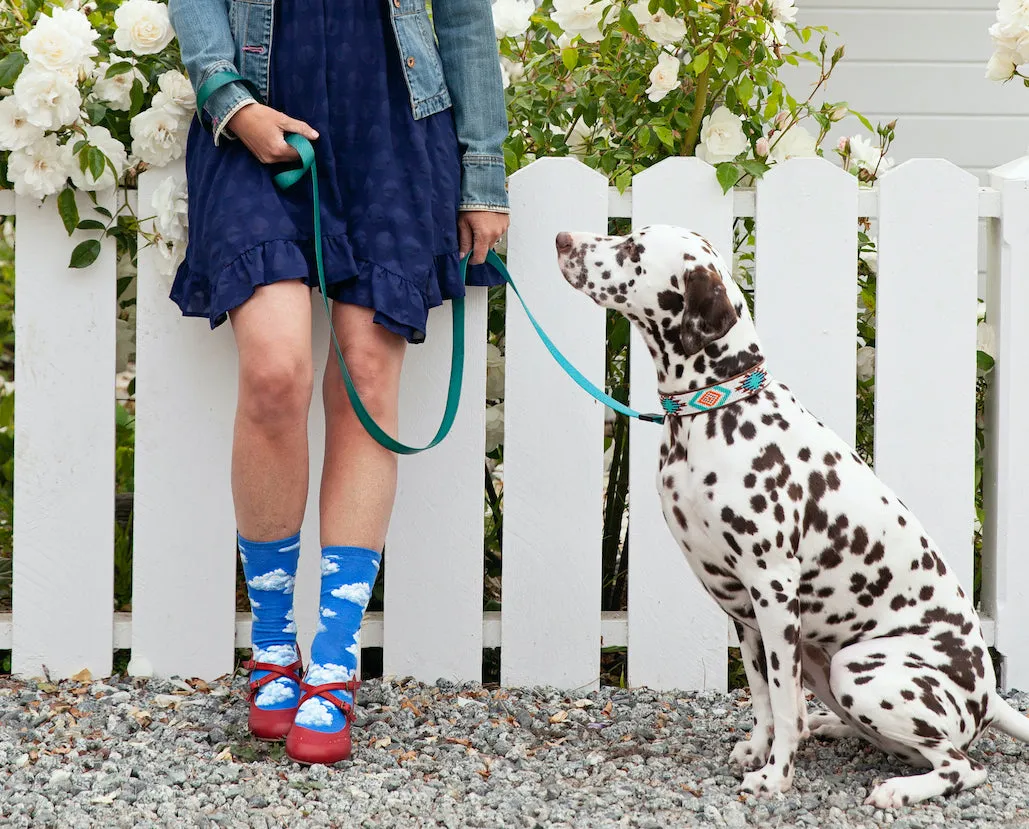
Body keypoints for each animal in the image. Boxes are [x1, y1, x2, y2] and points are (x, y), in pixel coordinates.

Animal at [555, 224, 1029, 806]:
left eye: (633, 249)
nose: (562, 238)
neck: (716, 409)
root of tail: (989, 698)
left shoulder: (774, 589)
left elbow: (784, 703)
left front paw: (776, 775)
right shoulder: (743, 607)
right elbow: (763, 696)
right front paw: (758, 752)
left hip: (858, 669)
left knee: (962, 766)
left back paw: (897, 789)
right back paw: (836, 728)